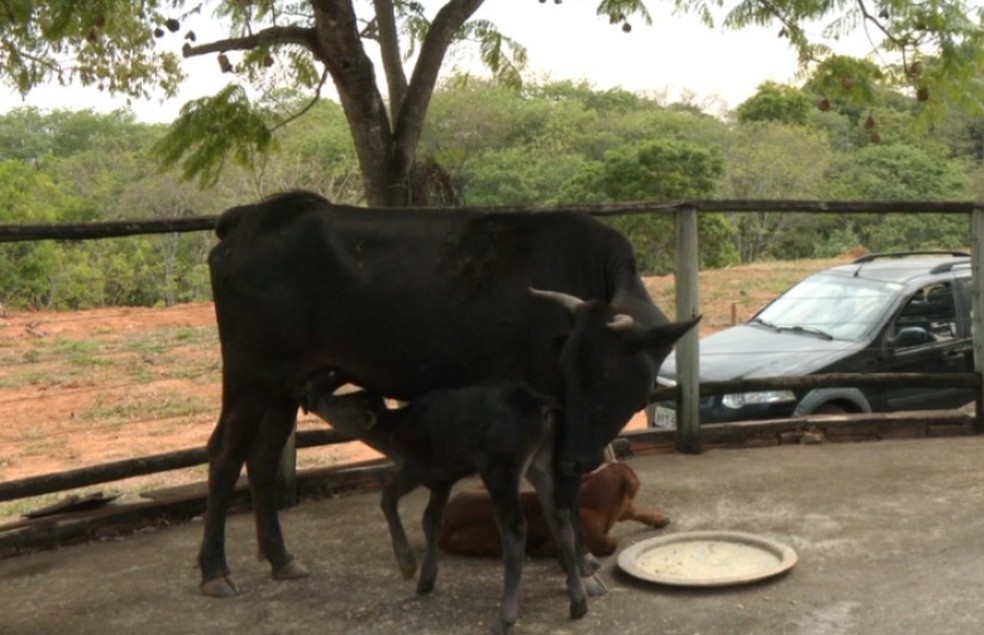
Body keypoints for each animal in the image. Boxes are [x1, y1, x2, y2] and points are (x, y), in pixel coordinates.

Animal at [296, 370, 584, 634]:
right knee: (558, 517)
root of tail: (537, 401)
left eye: (343, 404)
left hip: (500, 468)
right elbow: (431, 521)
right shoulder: (442, 481)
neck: (396, 431)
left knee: (514, 528)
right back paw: (578, 602)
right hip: (540, 462)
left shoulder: (416, 467)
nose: (314, 398)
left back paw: (505, 617)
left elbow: (387, 498)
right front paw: (426, 580)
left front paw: (408, 564)